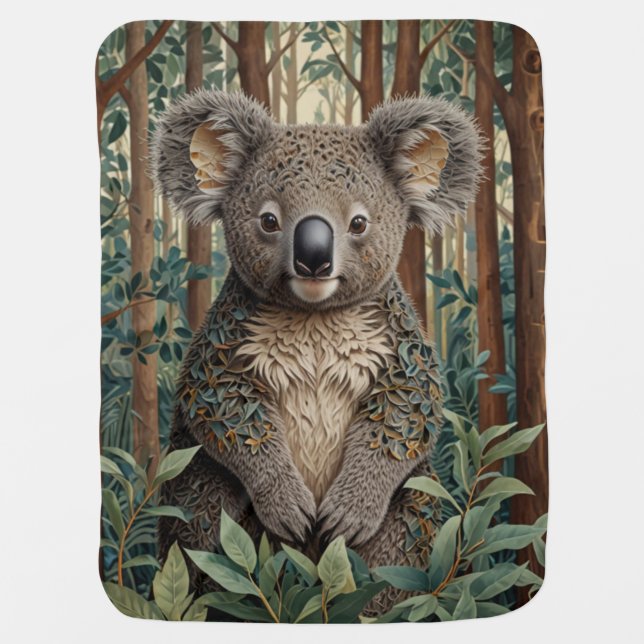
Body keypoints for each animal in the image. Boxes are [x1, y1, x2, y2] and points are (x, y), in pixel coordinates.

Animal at [150, 89, 482, 614]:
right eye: (269, 220)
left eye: (359, 222)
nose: (313, 257)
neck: (315, 320)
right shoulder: (224, 348)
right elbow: (223, 412)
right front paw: (289, 507)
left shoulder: (399, 349)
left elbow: (408, 414)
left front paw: (347, 512)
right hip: (200, 498)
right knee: (200, 533)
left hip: (411, 520)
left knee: (403, 550)